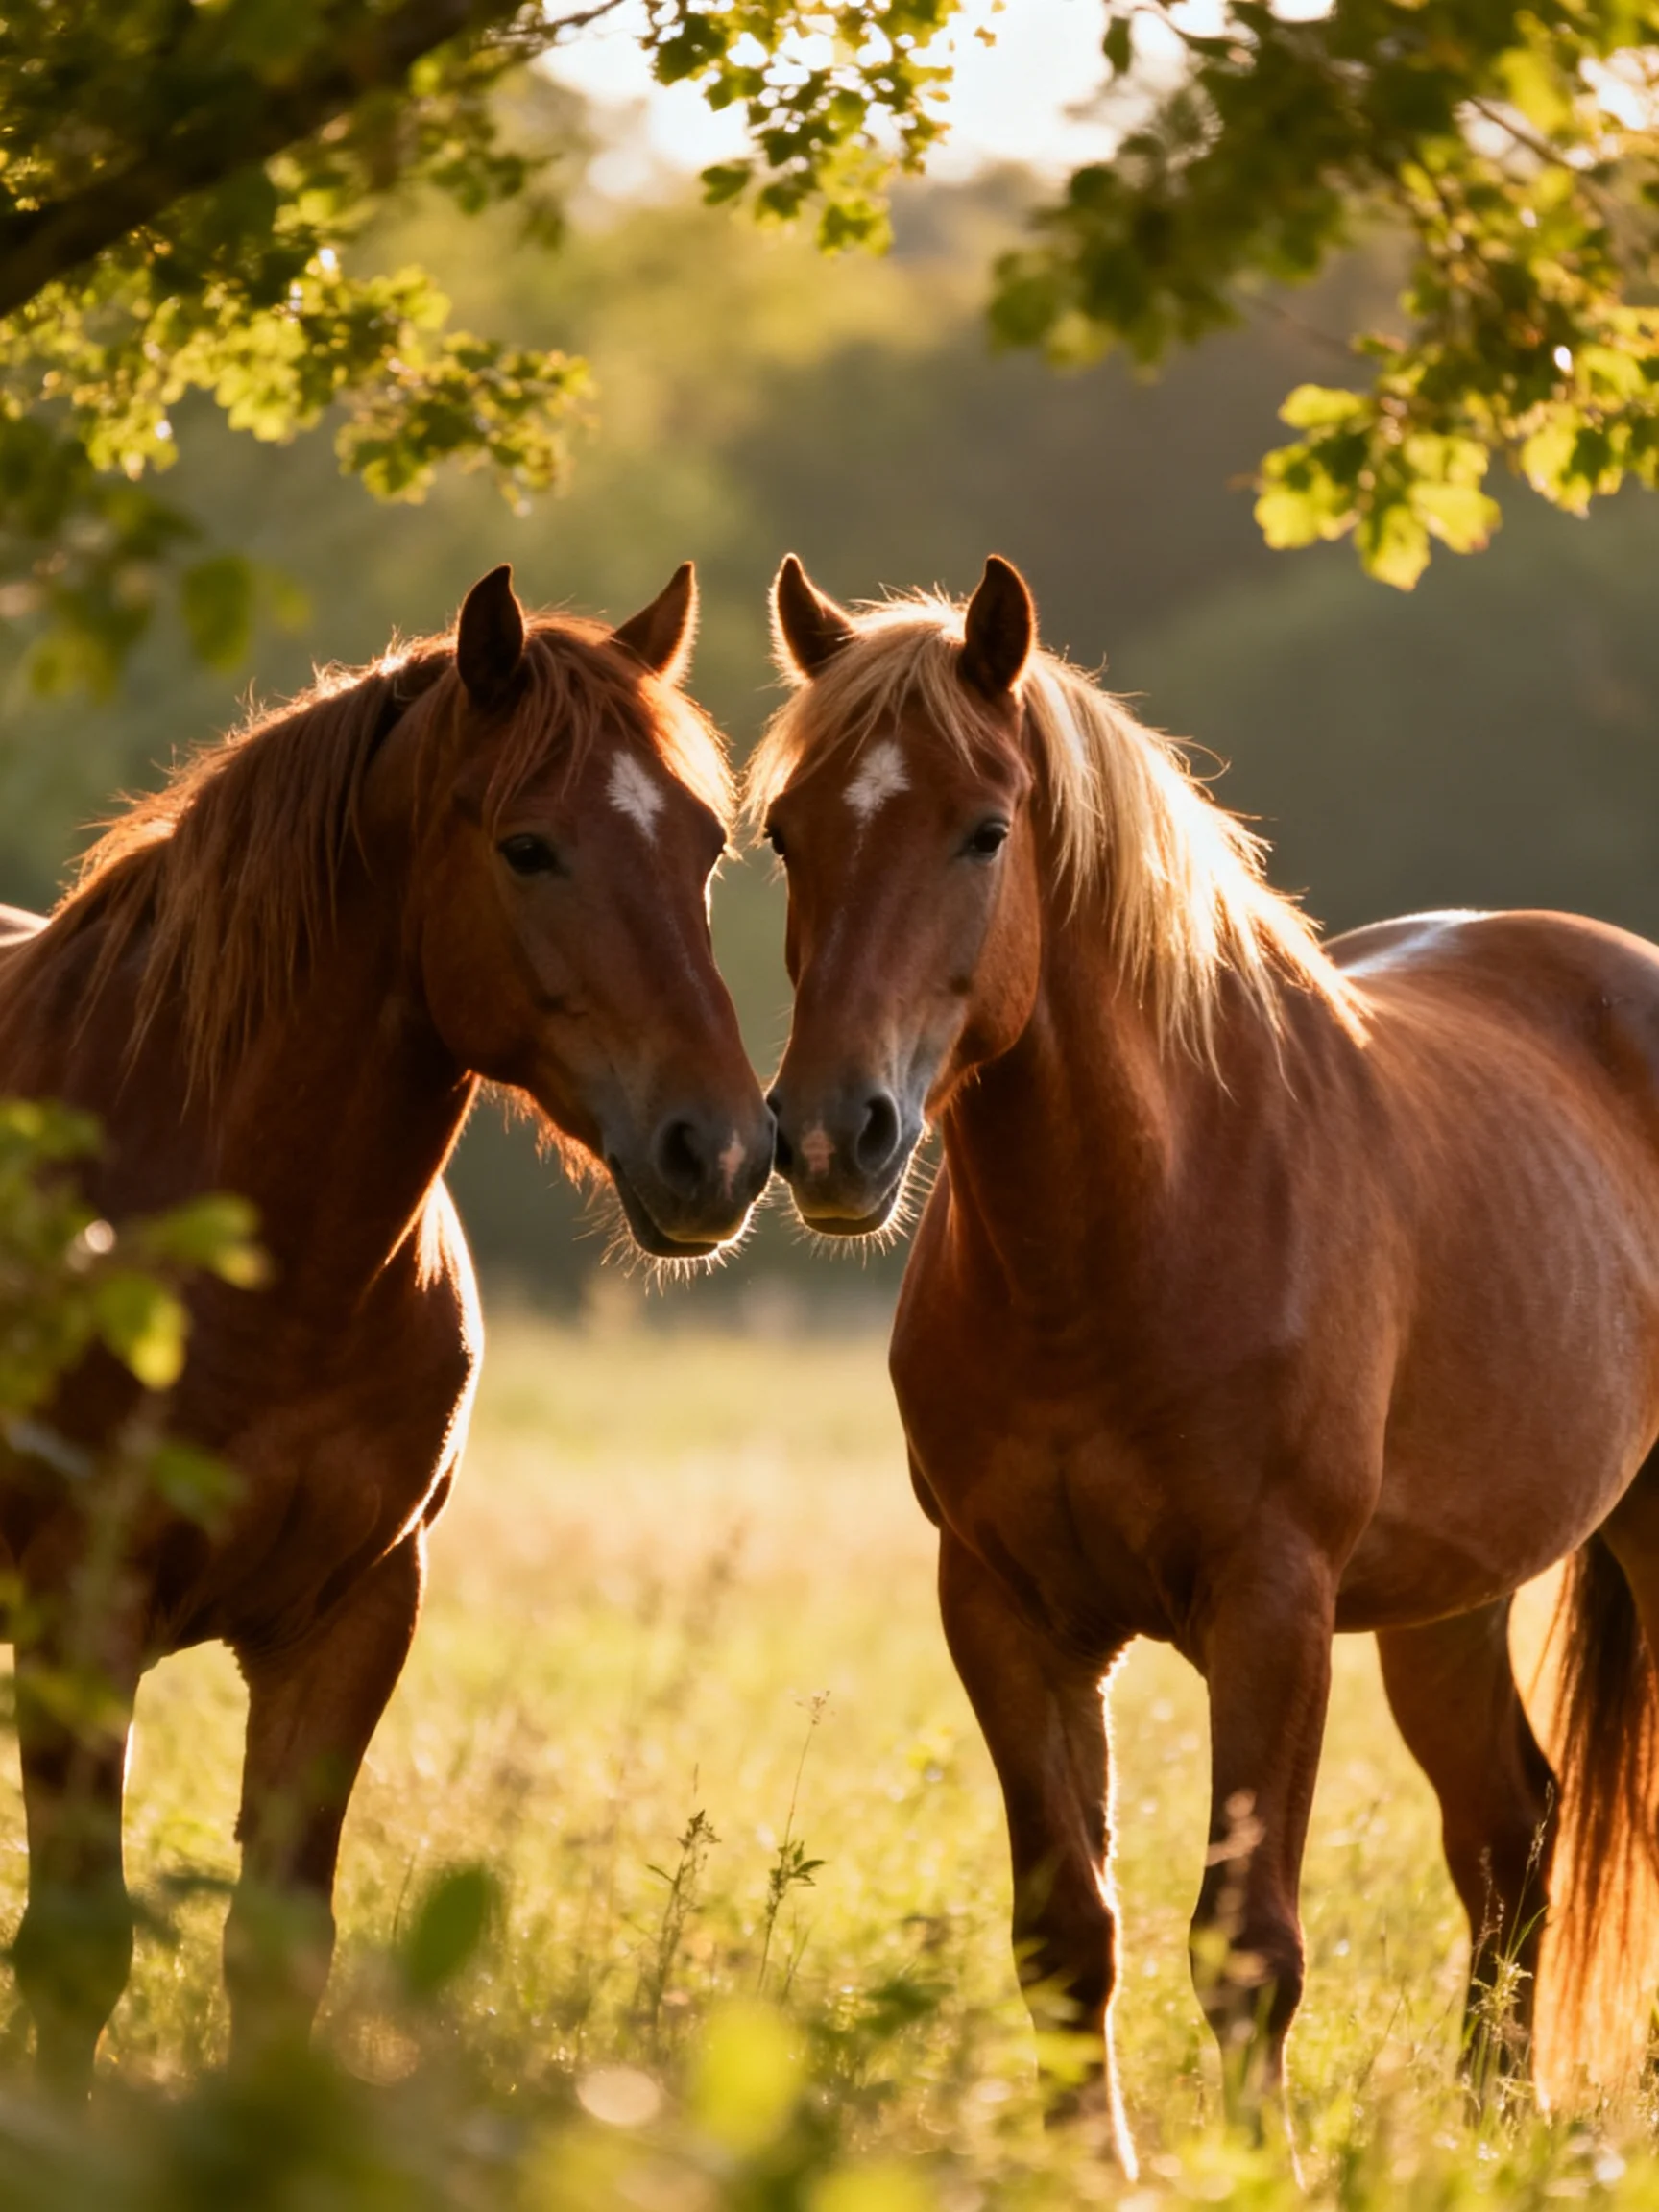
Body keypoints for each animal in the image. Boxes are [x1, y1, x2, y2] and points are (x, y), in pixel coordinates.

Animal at [0, 561, 774, 2090]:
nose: (716, 1152)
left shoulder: (352, 1616)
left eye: (708, 846)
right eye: (529, 848)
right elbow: (76, 1954)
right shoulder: (80, 1614)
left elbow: (276, 1953)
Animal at [751, 549, 1659, 2169]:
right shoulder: (1006, 1608)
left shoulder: (1271, 1605)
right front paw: (1088, 2175)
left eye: (985, 830)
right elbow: (1066, 1933)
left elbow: (1248, 1946)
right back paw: (1485, 2135)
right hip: (1450, 1602)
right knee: (1512, 1836)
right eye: (789, 832)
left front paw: (1259, 2173)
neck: (1129, 1228)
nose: (830, 1136)